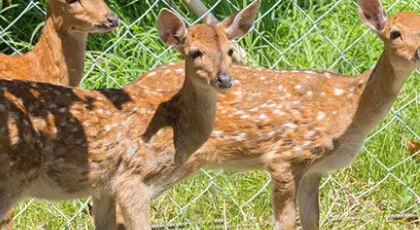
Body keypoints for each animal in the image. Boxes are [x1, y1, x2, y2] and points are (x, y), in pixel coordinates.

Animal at [0, 2, 260, 230]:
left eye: (230, 50)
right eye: (195, 52)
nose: (224, 79)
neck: (175, 127)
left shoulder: (103, 188)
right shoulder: (132, 179)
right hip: (11, 179)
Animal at [131, 0, 420, 228]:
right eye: (394, 33)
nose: (418, 51)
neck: (349, 108)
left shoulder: (315, 169)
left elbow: (312, 219)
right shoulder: (285, 158)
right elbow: (286, 223)